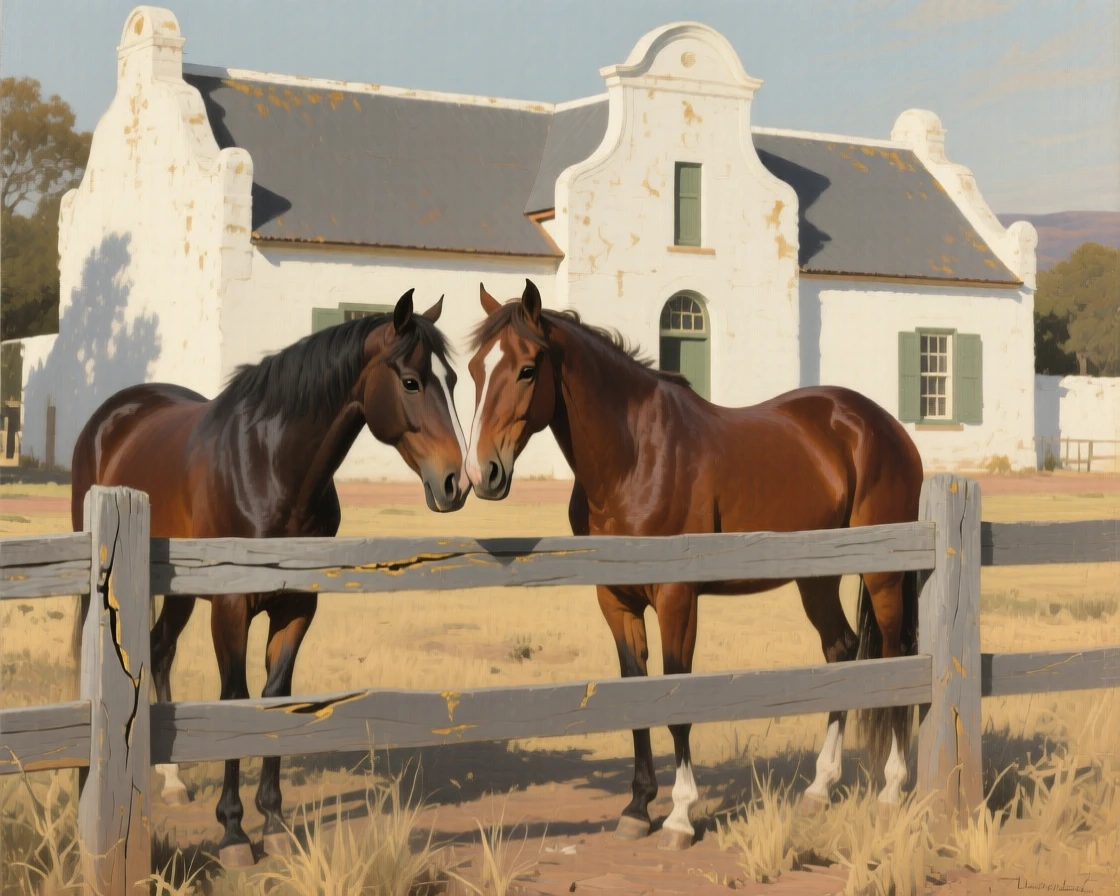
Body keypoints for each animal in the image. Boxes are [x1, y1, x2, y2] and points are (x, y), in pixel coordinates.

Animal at [69, 289, 470, 866]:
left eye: (453, 379)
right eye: (412, 381)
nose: (456, 482)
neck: (269, 466)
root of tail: (112, 415)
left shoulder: (298, 605)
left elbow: (277, 696)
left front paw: (275, 821)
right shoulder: (231, 606)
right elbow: (236, 699)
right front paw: (234, 830)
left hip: (178, 592)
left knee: (160, 649)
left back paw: (172, 778)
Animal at [463, 279, 924, 851]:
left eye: (528, 368)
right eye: (474, 368)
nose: (481, 472)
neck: (635, 456)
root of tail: (883, 427)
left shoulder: (677, 596)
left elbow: (676, 697)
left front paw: (681, 816)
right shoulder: (615, 599)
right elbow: (637, 692)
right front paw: (637, 809)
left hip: (883, 576)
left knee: (893, 657)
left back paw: (891, 787)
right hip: (815, 579)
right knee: (841, 650)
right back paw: (820, 787)